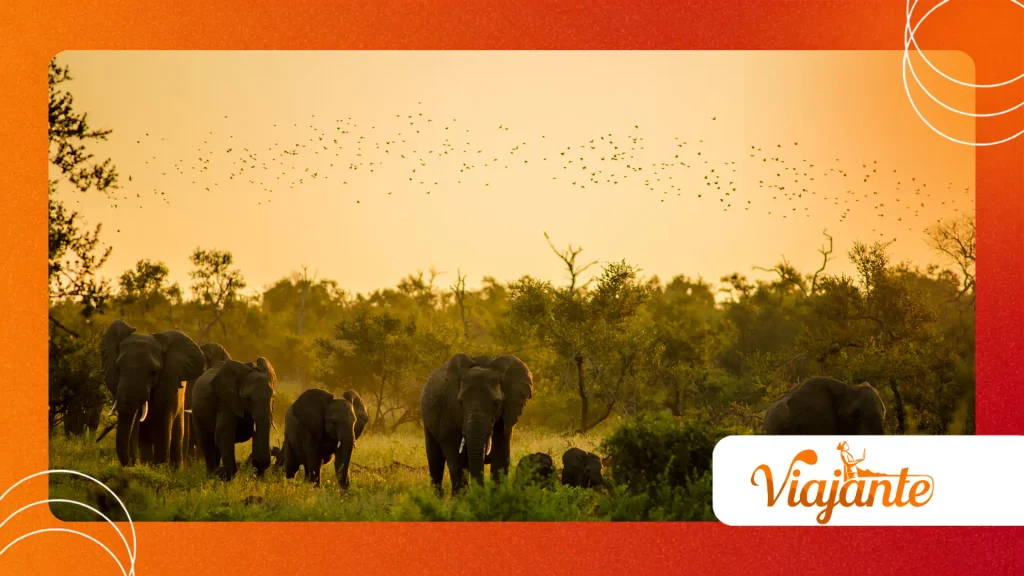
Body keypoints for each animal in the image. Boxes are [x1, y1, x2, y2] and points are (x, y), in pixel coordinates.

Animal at [101, 320, 206, 467]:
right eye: (119, 368)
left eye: (153, 372)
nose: (132, 462)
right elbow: (135, 428)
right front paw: (144, 466)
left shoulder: (167, 385)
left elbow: (162, 427)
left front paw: (160, 468)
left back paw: (175, 468)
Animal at [420, 353, 534, 492]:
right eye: (460, 402)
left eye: (497, 403)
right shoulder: (448, 411)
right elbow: (455, 459)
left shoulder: (506, 414)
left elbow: (500, 458)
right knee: (435, 460)